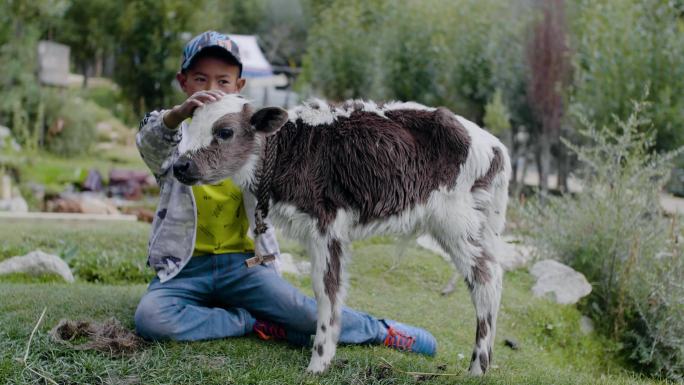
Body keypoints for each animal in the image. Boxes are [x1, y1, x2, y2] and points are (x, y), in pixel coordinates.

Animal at [174, 94, 510, 374]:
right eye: (190, 125)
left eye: (225, 132)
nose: (180, 165)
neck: (286, 150)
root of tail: (496, 147)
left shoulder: (327, 224)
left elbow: (326, 289)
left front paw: (318, 363)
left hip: (457, 222)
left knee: (487, 279)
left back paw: (478, 367)